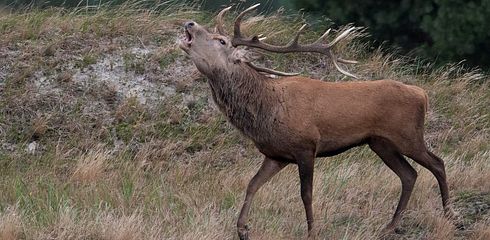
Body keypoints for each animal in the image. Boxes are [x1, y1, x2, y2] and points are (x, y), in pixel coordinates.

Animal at [179, 3, 456, 238]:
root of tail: (422, 94)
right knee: (409, 174)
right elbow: (252, 184)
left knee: (437, 163)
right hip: (380, 143)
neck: (268, 110)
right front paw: (242, 229)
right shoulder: (276, 155)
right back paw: (389, 227)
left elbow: (306, 193)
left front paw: (311, 232)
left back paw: (448, 213)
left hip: (408, 135)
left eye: (221, 40)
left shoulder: (306, 146)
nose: (190, 23)